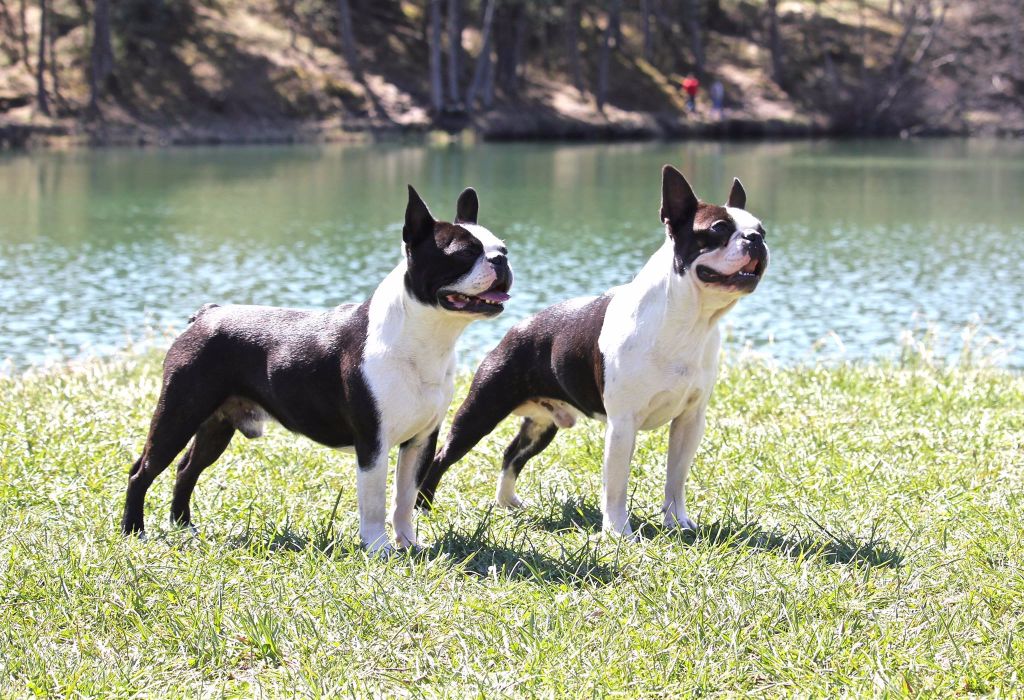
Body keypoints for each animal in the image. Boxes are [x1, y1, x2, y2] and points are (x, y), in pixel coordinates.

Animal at [119, 184, 512, 552]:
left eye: (503, 247)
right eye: (464, 253)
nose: (501, 260)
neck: (429, 336)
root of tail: (206, 314)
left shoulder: (421, 441)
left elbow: (404, 499)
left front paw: (409, 544)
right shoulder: (373, 442)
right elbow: (374, 501)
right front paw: (378, 548)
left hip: (216, 424)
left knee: (187, 468)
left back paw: (183, 526)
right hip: (178, 413)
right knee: (142, 470)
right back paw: (133, 532)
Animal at [411, 166, 765, 540]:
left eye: (761, 228)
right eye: (719, 229)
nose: (756, 238)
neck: (691, 320)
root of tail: (517, 328)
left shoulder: (690, 420)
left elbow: (676, 479)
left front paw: (677, 522)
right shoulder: (623, 425)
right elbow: (616, 485)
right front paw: (619, 533)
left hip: (542, 425)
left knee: (511, 454)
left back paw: (508, 503)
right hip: (481, 411)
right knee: (443, 456)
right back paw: (423, 507)